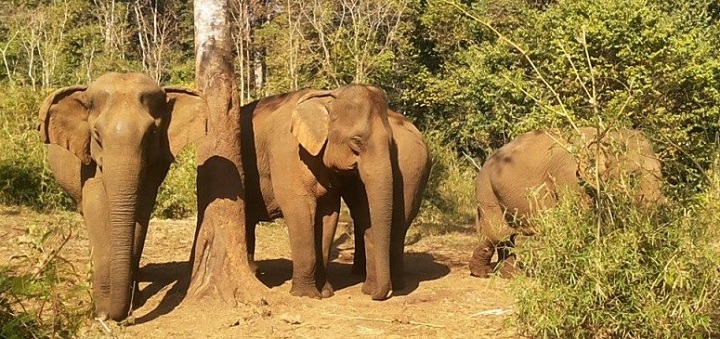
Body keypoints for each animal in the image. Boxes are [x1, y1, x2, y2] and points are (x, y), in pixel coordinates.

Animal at [38, 71, 208, 322]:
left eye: (152, 133)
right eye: (97, 134)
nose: (117, 316)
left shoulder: (155, 165)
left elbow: (141, 211)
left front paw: (132, 302)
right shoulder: (88, 162)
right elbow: (97, 208)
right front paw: (101, 310)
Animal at [239, 86, 430, 302]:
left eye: (391, 143)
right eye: (356, 142)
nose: (374, 295)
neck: (327, 96)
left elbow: (329, 214)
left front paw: (324, 292)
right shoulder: (286, 153)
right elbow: (299, 209)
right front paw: (306, 295)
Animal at [466, 127, 664, 278]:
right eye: (633, 177)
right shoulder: (570, 178)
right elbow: (579, 220)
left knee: (507, 237)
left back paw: (510, 275)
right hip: (487, 191)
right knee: (497, 234)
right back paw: (482, 273)